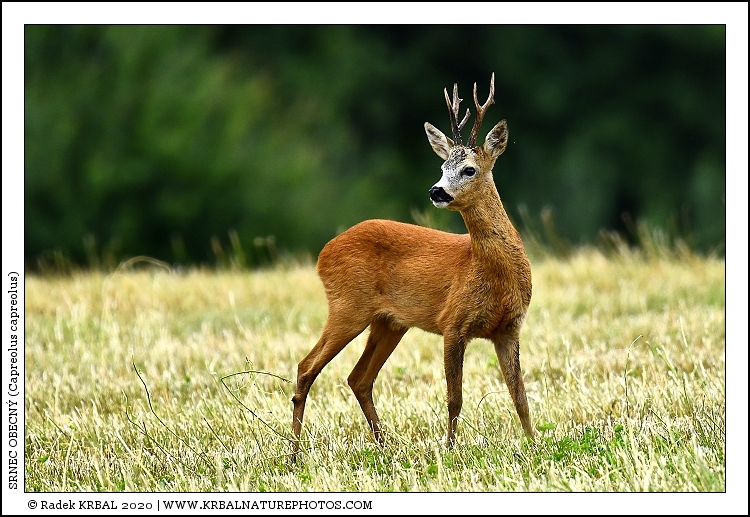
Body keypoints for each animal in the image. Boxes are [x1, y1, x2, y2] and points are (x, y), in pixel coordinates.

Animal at [291, 74, 534, 459]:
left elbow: (520, 395)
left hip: (390, 322)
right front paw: (449, 450)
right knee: (306, 367)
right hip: (348, 306)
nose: (436, 191)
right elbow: (454, 398)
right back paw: (294, 455)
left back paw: (385, 447)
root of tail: (323, 253)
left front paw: (535, 443)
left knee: (359, 378)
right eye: (442, 167)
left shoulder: (509, 327)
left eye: (469, 169)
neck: (494, 273)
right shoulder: (453, 323)